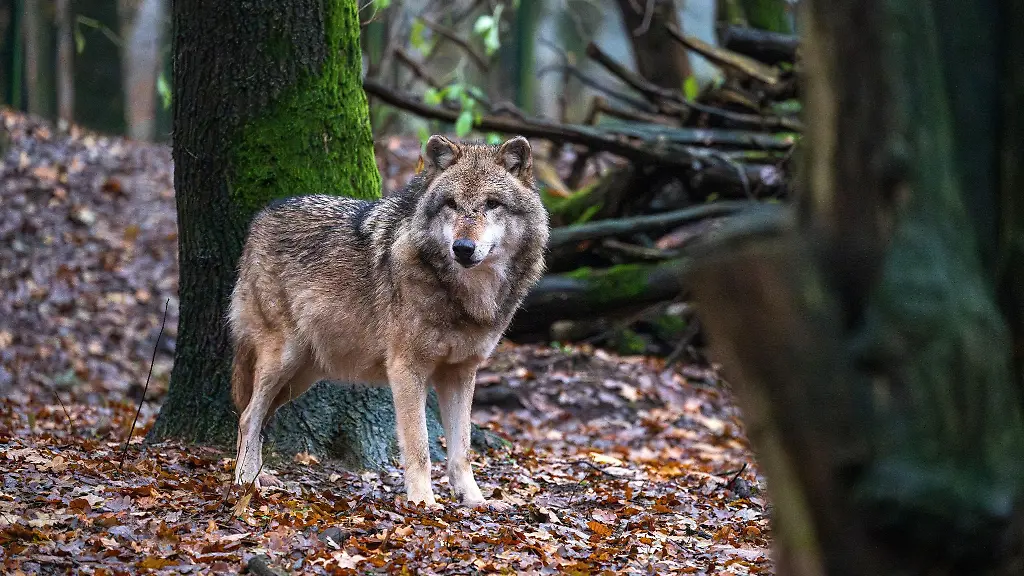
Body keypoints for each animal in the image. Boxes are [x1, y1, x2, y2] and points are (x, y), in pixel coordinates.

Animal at [228, 135, 549, 508]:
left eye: (492, 204)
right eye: (451, 204)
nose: (463, 247)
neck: (465, 295)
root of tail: (261, 216)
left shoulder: (461, 372)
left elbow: (462, 450)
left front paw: (474, 500)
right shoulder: (406, 369)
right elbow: (420, 447)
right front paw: (424, 503)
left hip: (301, 376)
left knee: (257, 417)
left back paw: (258, 478)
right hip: (283, 359)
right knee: (248, 417)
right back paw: (245, 482)